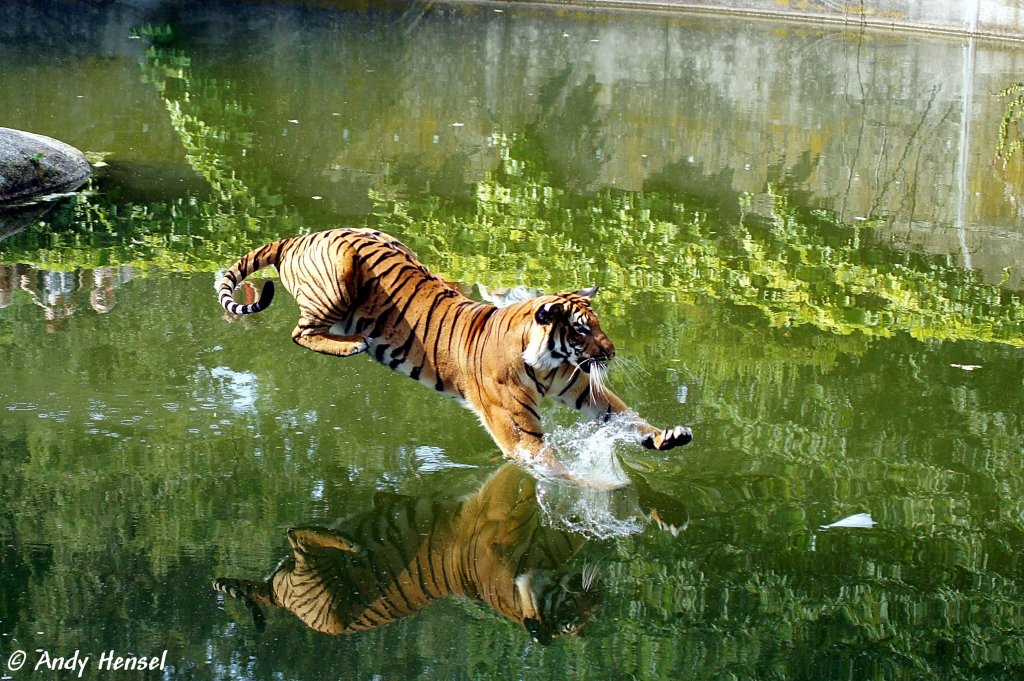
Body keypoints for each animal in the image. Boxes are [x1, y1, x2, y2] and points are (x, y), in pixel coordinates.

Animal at [212, 462, 602, 643]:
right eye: (570, 615)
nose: (598, 599)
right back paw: (348, 541)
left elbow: (571, 529)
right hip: (330, 606)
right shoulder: (500, 516)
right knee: (295, 533)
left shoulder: (544, 544)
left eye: (585, 619)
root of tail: (277, 597)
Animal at [217, 227, 696, 477]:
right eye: (582, 329)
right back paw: (353, 344)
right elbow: (553, 467)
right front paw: (590, 487)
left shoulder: (578, 385)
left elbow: (624, 414)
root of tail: (300, 237)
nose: (611, 353)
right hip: (337, 276)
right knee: (300, 333)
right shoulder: (520, 433)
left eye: (597, 324)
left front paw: (667, 436)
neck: (546, 361)